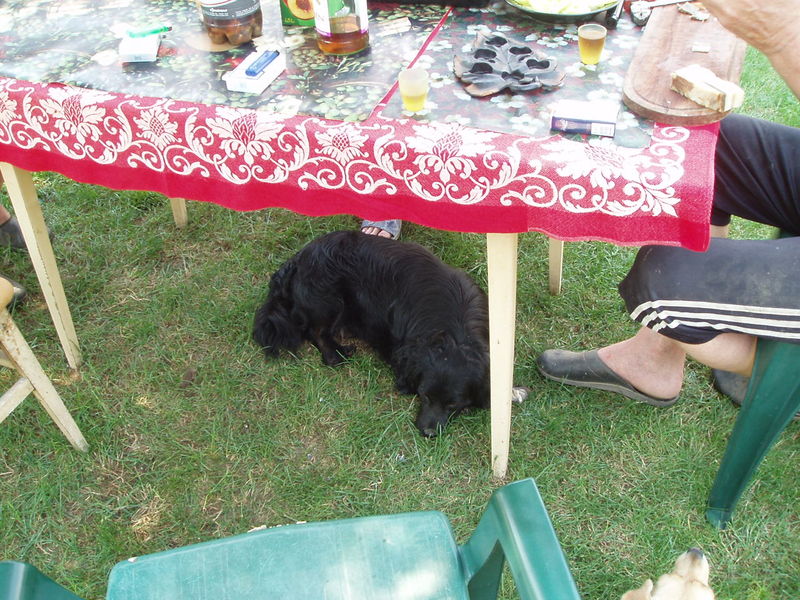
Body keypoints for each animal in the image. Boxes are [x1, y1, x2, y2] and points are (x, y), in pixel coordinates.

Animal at [252, 230, 491, 437]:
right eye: (424, 395)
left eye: (453, 404)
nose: (428, 432)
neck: (454, 331)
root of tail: (298, 259)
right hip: (328, 298)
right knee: (317, 331)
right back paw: (336, 354)